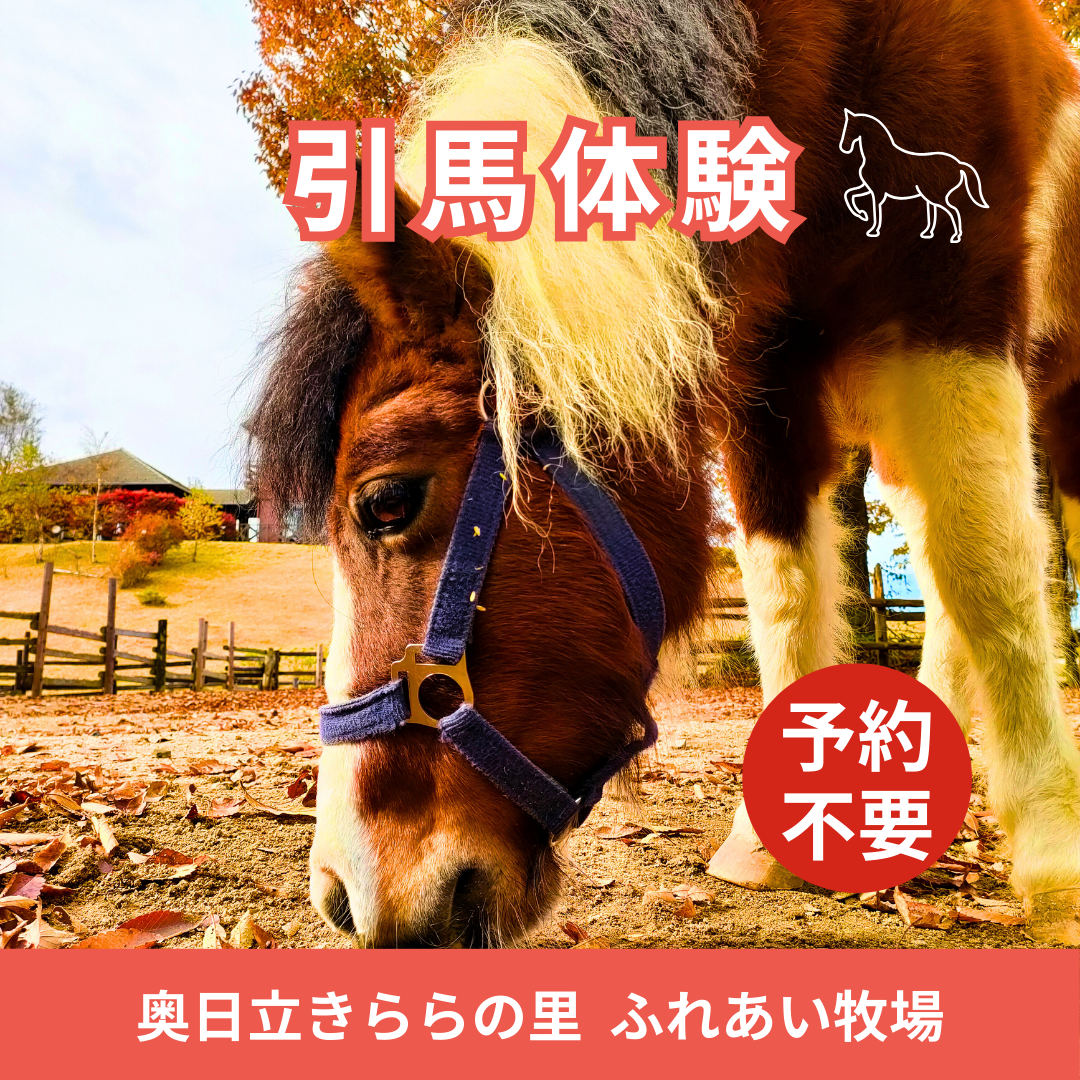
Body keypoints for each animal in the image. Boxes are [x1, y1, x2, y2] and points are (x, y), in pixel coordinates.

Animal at [839, 109, 989, 242]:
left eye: (848, 127)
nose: (843, 148)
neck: (878, 154)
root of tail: (958, 163)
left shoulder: (877, 194)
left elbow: (875, 211)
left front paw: (872, 230)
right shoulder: (868, 187)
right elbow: (850, 194)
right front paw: (862, 215)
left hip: (937, 197)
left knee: (952, 211)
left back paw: (955, 236)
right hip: (931, 196)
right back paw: (928, 233)